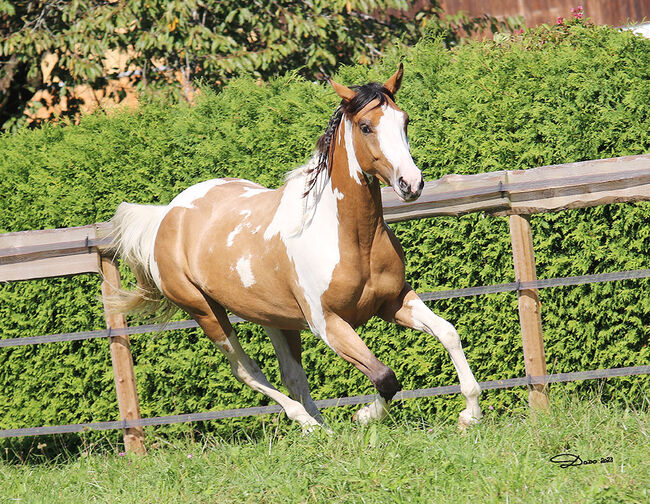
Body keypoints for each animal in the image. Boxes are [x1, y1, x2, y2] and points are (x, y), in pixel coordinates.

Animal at [109, 65, 478, 432]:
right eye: (366, 126)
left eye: (404, 120)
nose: (411, 184)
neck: (351, 240)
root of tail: (167, 216)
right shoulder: (329, 324)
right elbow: (384, 376)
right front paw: (364, 416)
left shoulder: (394, 300)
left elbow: (448, 332)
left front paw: (469, 414)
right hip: (205, 312)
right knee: (246, 370)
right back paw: (308, 424)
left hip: (272, 316)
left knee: (292, 376)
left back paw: (324, 430)